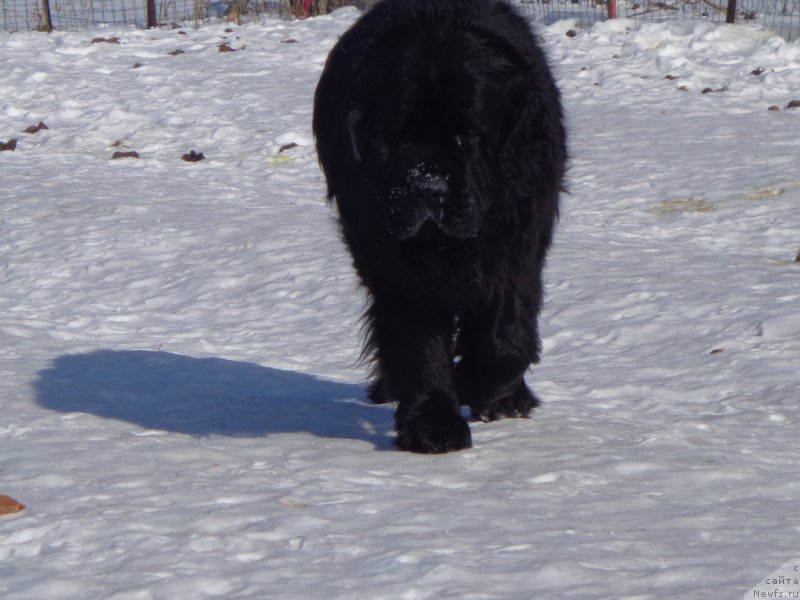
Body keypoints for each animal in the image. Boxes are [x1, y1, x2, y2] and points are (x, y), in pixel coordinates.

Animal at [314, 0, 568, 452]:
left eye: (467, 136)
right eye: (397, 135)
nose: (427, 187)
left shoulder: (517, 246)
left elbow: (508, 338)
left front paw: (478, 385)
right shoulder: (397, 265)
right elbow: (418, 340)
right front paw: (433, 425)